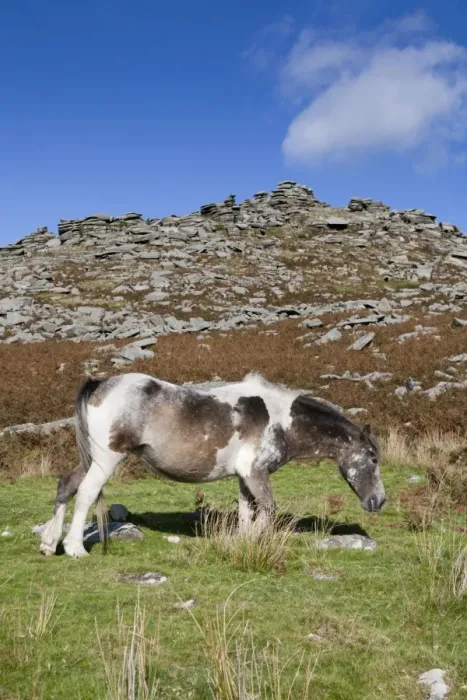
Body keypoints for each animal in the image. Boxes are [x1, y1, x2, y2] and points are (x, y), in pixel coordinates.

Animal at [40, 372, 386, 558]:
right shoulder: (256, 474)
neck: (281, 421)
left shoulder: (246, 478)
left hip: (91, 459)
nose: (379, 501)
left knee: (66, 485)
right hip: (106, 460)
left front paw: (242, 544)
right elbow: (268, 509)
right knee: (85, 493)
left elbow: (247, 514)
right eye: (373, 458)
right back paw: (74, 548)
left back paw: (49, 543)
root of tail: (100, 385)